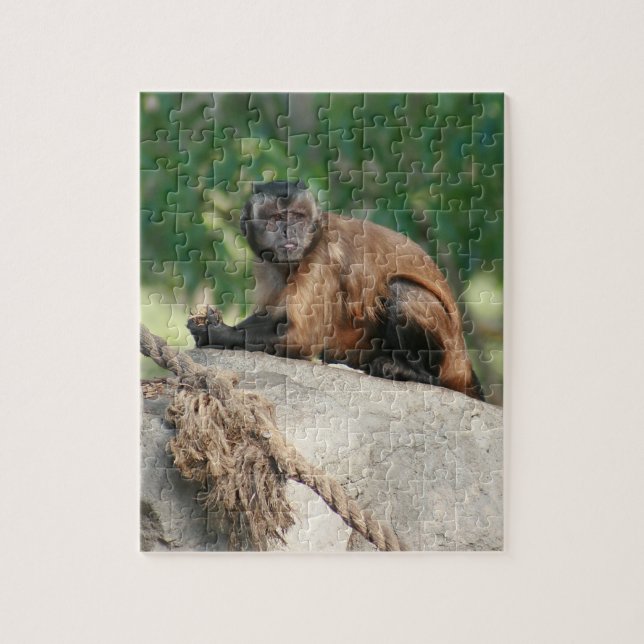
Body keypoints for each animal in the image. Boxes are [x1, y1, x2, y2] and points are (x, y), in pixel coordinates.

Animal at [188, 180, 483, 400]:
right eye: (276, 218)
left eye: (297, 218)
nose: (289, 231)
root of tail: (464, 364)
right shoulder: (268, 263)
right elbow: (274, 317)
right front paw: (209, 326)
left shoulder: (321, 256)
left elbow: (301, 338)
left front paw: (217, 333)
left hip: (449, 360)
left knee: (401, 289)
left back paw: (414, 373)